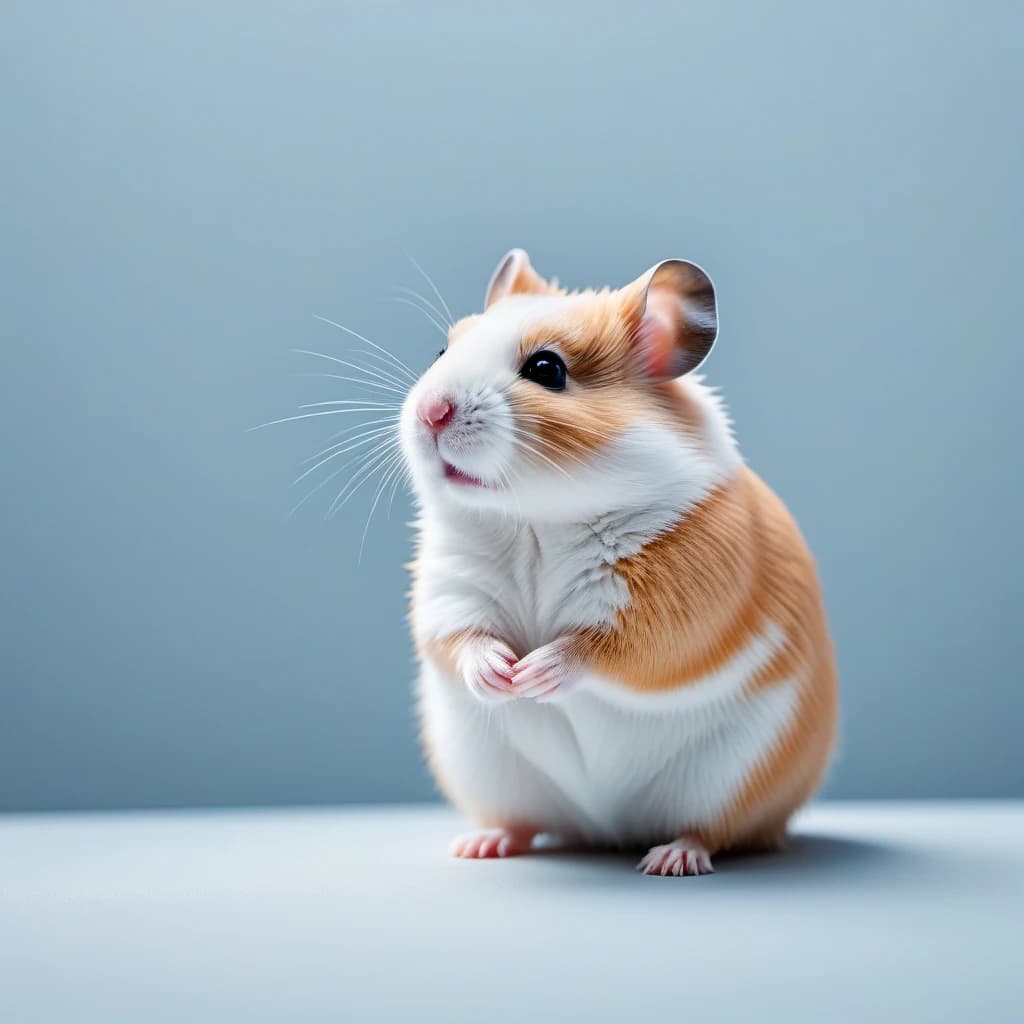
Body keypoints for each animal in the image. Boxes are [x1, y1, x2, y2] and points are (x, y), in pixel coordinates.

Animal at [399, 249, 838, 875]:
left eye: (546, 369)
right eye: (442, 351)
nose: (430, 412)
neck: (534, 521)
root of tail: (607, 827)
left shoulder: (676, 605)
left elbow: (602, 649)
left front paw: (532, 674)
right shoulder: (449, 591)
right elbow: (461, 639)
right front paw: (502, 675)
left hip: (734, 778)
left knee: (713, 830)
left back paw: (671, 859)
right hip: (491, 775)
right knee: (526, 822)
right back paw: (481, 845)